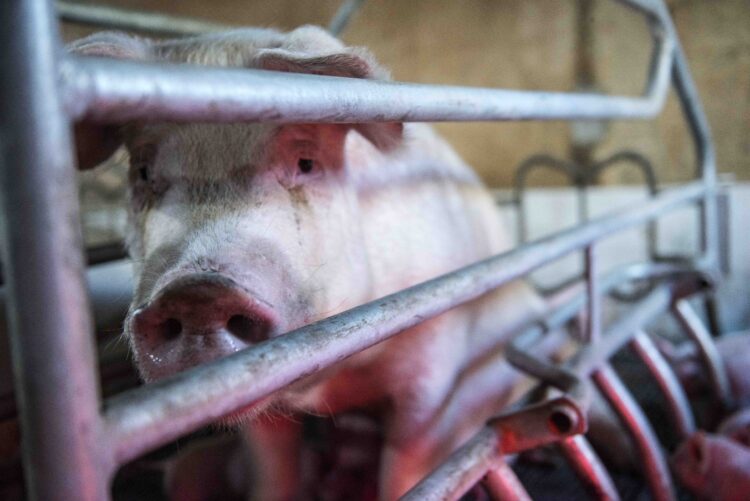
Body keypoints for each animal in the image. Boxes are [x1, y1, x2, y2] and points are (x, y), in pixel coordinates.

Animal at [69, 26, 550, 500]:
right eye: (143, 172)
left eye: (306, 162)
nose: (197, 292)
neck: (334, 385)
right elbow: (275, 470)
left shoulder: (432, 355)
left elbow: (411, 464)